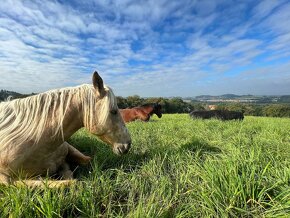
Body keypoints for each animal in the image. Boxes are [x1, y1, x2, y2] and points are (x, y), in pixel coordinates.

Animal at [0, 71, 131, 187]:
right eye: (113, 111)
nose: (128, 145)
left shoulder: (67, 152)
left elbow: (85, 162)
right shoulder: (7, 181)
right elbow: (69, 183)